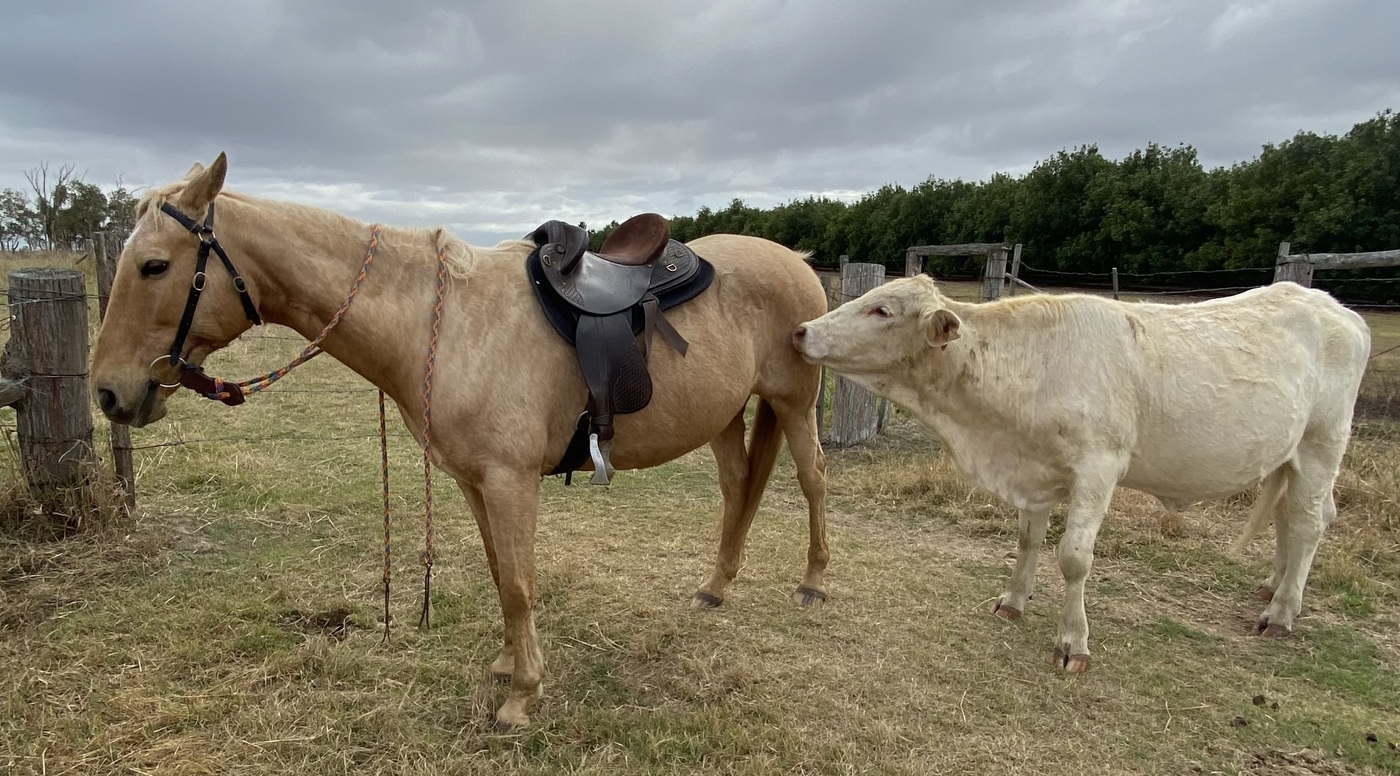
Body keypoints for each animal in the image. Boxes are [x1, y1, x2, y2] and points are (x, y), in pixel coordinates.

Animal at [90, 154, 830, 729]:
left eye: (154, 265)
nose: (108, 394)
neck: (437, 325)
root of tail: (796, 260)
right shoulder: (474, 481)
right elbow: (501, 574)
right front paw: (507, 665)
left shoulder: (509, 481)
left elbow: (521, 584)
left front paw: (523, 697)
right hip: (725, 418)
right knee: (738, 487)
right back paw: (715, 587)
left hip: (796, 404)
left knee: (813, 480)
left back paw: (814, 582)